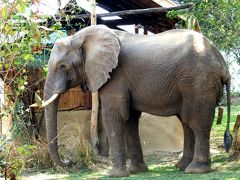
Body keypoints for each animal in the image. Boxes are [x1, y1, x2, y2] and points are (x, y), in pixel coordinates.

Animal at [42, 24, 232, 177]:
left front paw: (115, 175)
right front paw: (137, 171)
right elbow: (130, 119)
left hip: (199, 83)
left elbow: (115, 116)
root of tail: (222, 63)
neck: (81, 37)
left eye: (62, 66)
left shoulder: (115, 76)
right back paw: (181, 166)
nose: (69, 160)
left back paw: (196, 170)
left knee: (197, 121)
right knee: (186, 122)